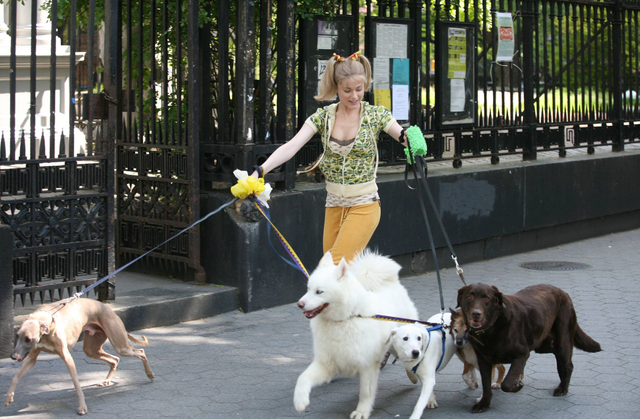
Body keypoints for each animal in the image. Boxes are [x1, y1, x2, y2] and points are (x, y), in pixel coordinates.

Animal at [4, 298, 154, 416]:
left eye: (28, 339)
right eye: (17, 336)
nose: (13, 356)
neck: (47, 323)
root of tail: (109, 309)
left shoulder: (67, 358)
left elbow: (77, 385)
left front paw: (82, 407)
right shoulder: (32, 358)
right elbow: (15, 377)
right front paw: (8, 398)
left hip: (120, 345)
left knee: (140, 352)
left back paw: (150, 374)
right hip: (91, 350)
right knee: (115, 359)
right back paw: (106, 380)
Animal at [292, 251, 418, 418]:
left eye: (319, 292)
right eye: (308, 289)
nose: (299, 304)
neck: (345, 319)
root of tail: (392, 283)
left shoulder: (367, 365)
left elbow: (365, 392)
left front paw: (361, 411)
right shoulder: (327, 363)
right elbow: (302, 377)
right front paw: (300, 401)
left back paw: (413, 376)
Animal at [458, 284, 604, 416]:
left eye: (486, 298)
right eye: (469, 296)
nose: (476, 313)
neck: (492, 328)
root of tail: (562, 292)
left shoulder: (522, 355)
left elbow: (507, 383)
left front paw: (517, 386)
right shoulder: (483, 360)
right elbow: (486, 385)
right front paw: (483, 404)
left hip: (563, 340)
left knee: (568, 364)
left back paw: (563, 388)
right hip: (543, 343)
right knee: (558, 357)